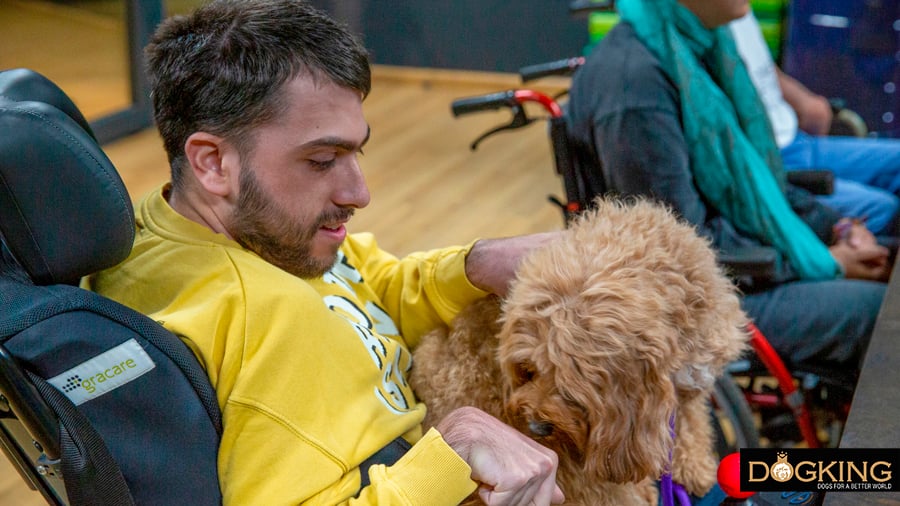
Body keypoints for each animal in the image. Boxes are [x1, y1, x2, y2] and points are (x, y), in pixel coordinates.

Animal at [412, 198, 748, 506]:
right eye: (527, 371)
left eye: (569, 386)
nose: (535, 427)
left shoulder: (688, 388)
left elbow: (689, 425)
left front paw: (693, 466)